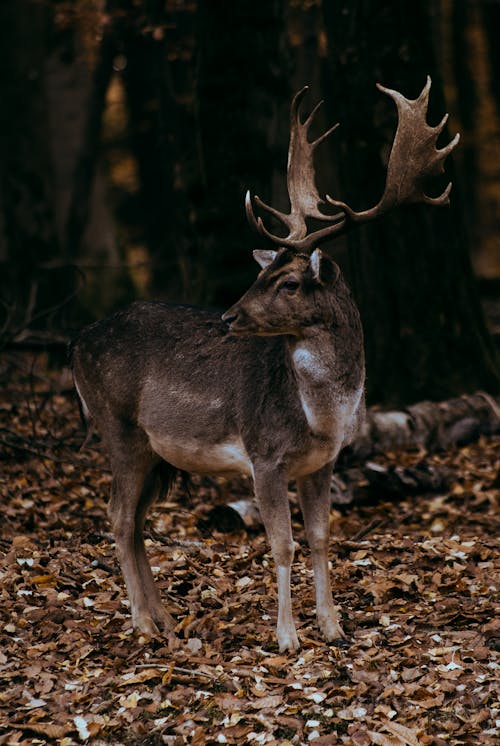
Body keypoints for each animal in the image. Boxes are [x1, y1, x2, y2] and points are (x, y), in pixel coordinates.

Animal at [70, 74, 458, 644]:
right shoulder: (264, 454)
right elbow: (282, 544)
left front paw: (333, 627)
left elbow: (320, 537)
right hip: (117, 425)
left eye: (290, 282)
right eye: (261, 274)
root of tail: (75, 342)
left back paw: (166, 619)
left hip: (157, 452)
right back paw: (142, 623)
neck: (322, 416)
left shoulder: (324, 462)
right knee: (117, 516)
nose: (229, 316)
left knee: (137, 519)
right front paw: (287, 636)